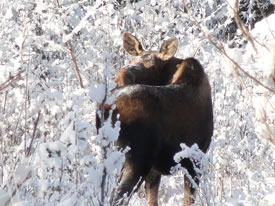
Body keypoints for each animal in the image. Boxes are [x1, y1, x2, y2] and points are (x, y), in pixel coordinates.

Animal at [96, 33, 215, 205]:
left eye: (153, 66)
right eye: (131, 60)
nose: (120, 77)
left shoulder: (155, 171)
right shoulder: (195, 159)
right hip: (138, 160)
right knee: (116, 197)